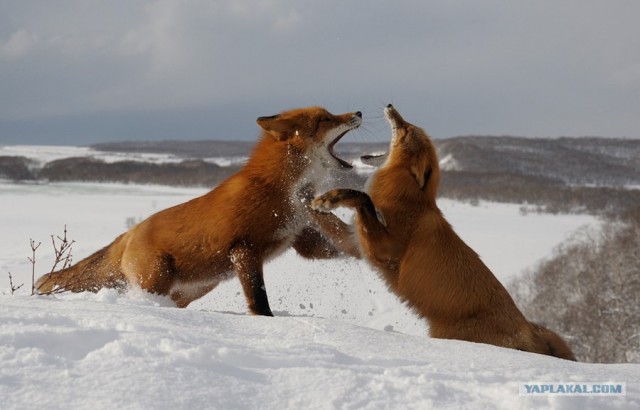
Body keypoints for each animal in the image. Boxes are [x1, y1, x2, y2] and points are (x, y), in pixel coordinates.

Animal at [312, 104, 576, 360]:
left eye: (406, 129)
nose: (389, 105)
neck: (406, 200)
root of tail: (528, 331)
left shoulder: (382, 253)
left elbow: (361, 197)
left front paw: (330, 197)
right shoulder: (354, 242)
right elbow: (329, 217)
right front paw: (309, 199)